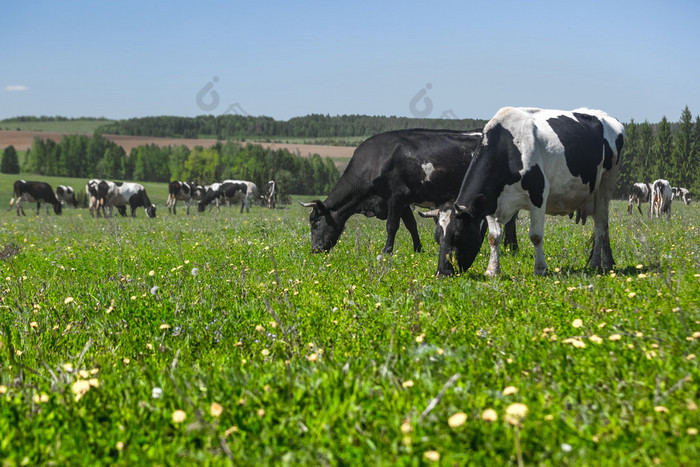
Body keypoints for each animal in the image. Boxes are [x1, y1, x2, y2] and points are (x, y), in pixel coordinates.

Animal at [300, 129, 516, 256]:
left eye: (316, 223)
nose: (314, 250)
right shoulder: (403, 200)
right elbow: (411, 225)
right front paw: (418, 249)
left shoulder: (396, 195)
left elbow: (392, 225)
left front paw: (386, 251)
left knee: (509, 219)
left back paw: (511, 247)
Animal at [434, 109, 628, 278]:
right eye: (437, 237)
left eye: (457, 235)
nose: (441, 273)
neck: (507, 147)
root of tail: (608, 117)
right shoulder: (490, 201)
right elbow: (493, 237)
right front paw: (492, 270)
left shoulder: (538, 196)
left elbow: (535, 236)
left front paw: (540, 268)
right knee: (603, 226)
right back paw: (607, 262)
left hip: (605, 186)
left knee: (600, 227)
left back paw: (596, 264)